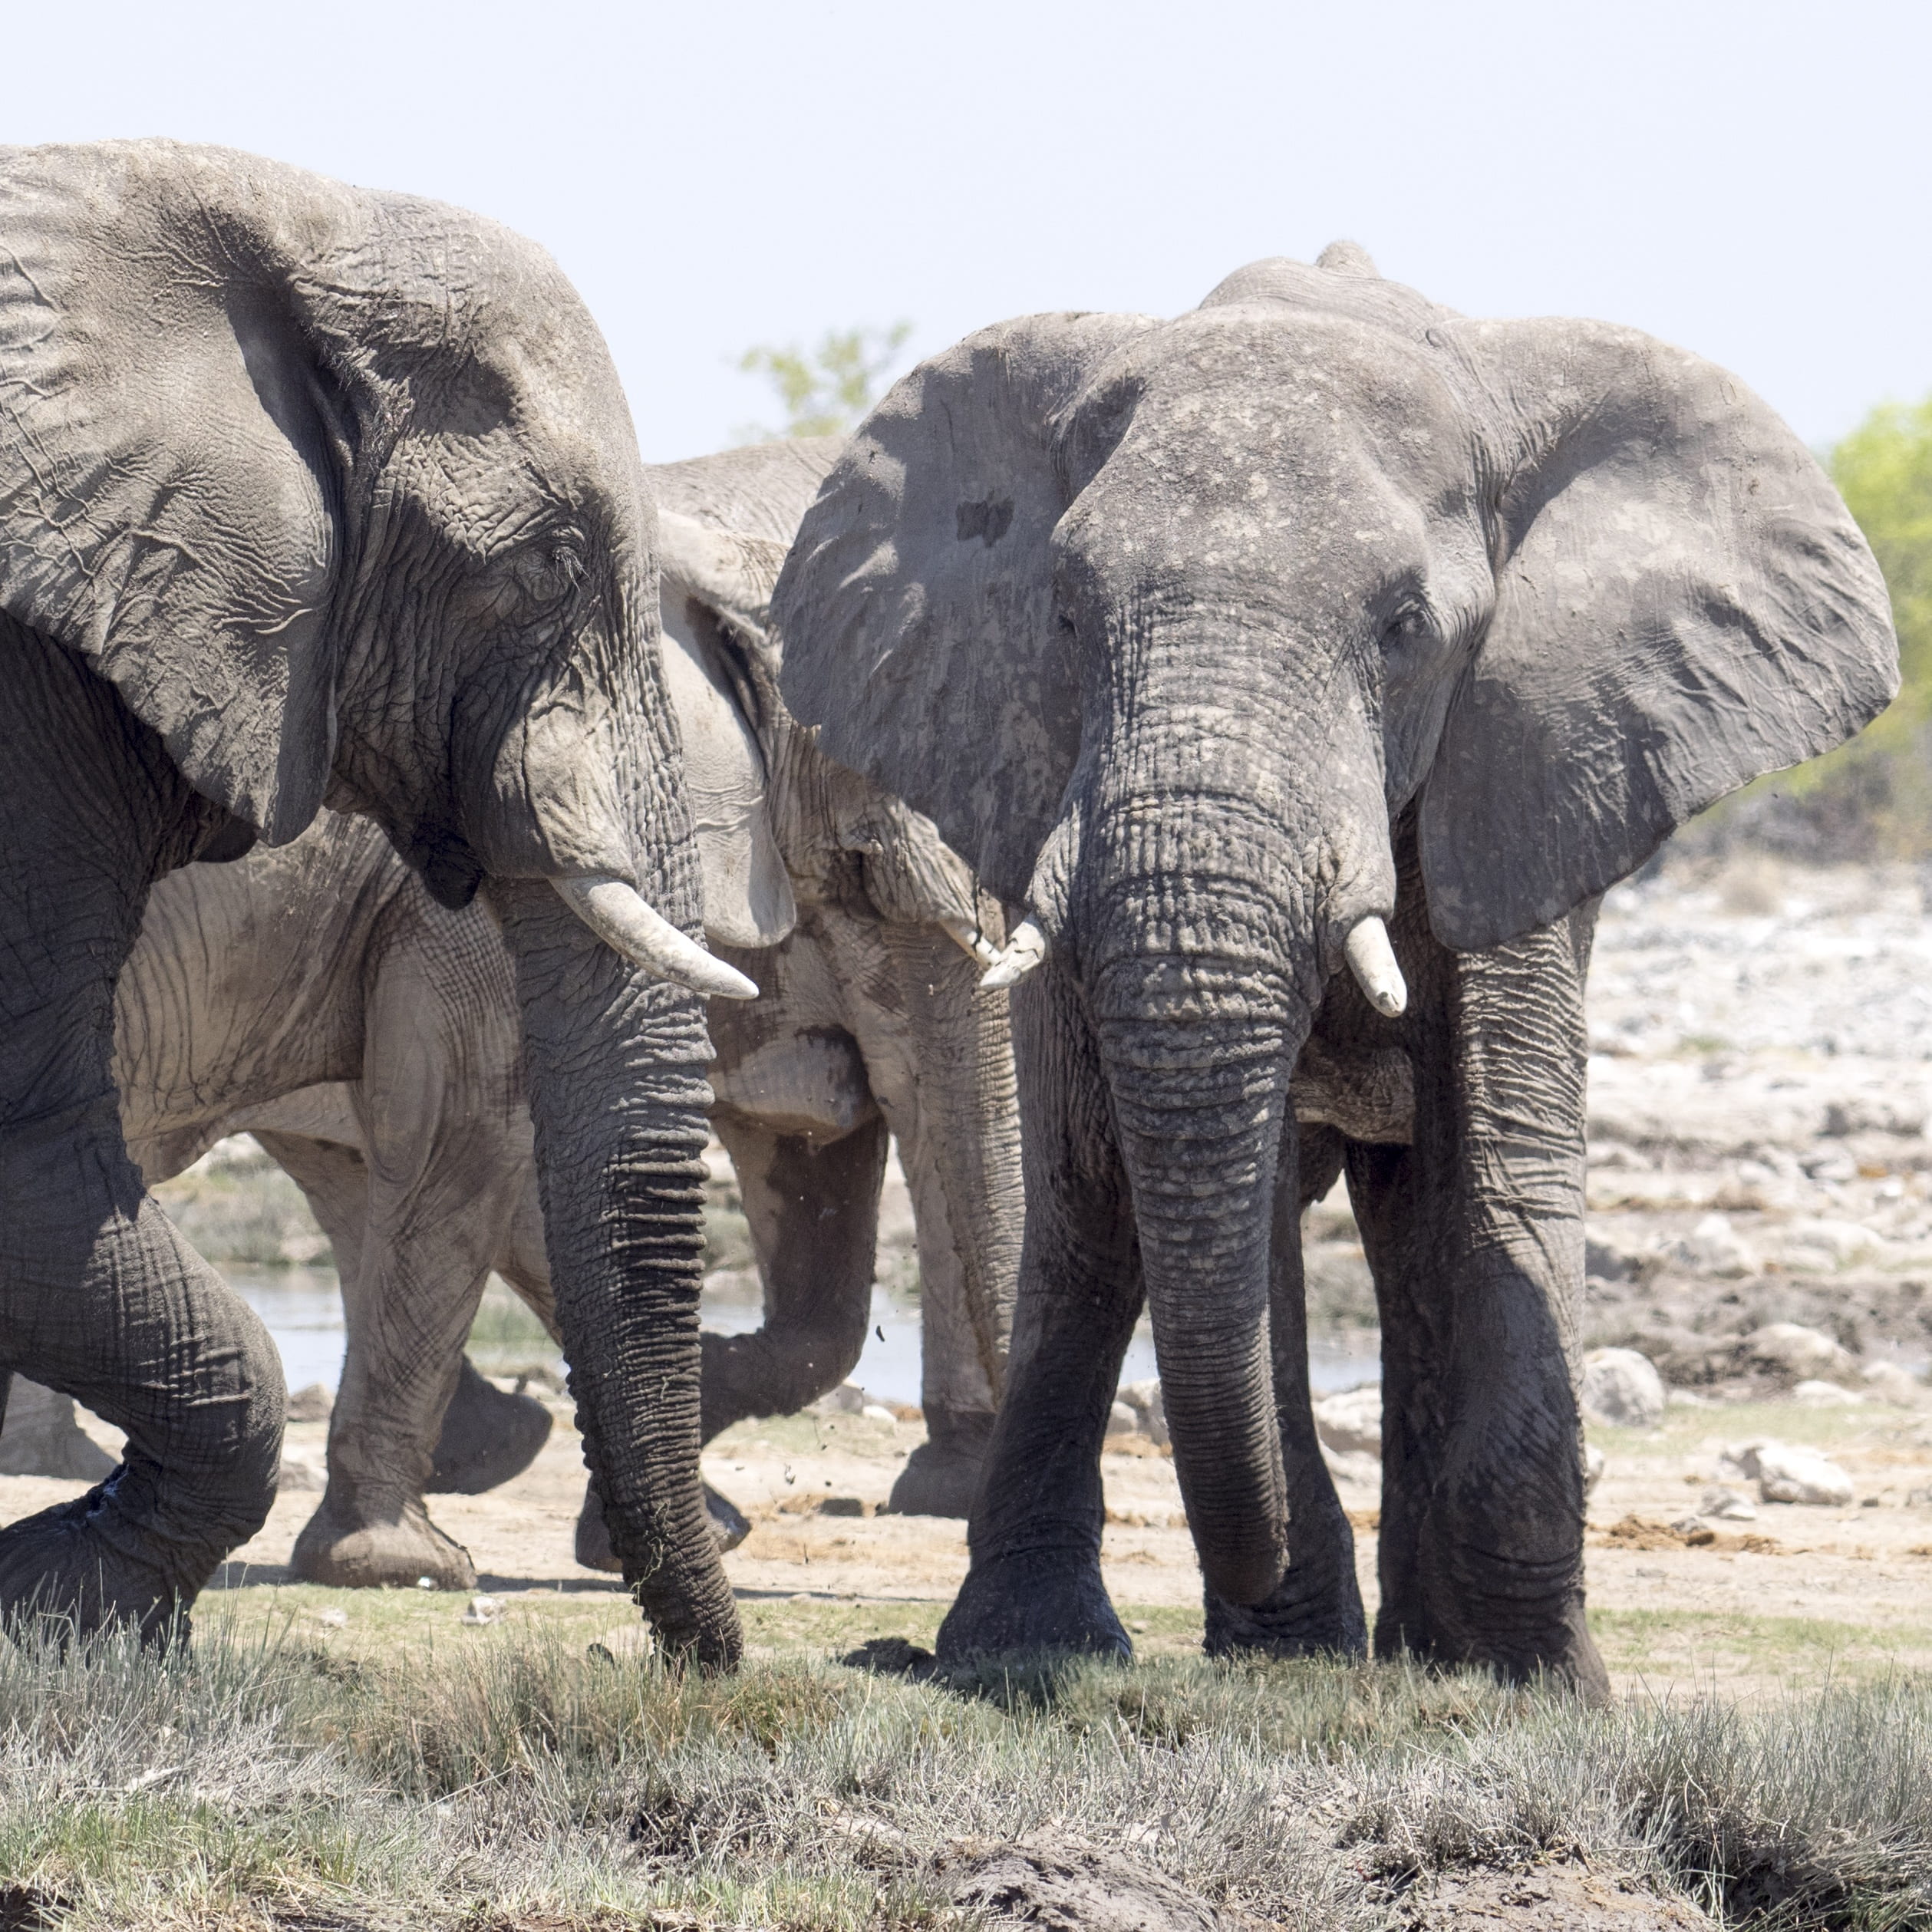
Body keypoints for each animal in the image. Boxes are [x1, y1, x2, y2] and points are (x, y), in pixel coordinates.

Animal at [771, 245, 1898, 1692]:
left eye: (1407, 624)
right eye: (1067, 614)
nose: (1257, 1590)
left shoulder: (1531, 752)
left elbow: (1496, 1159)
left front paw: (1534, 1682)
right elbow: (1227, 1202)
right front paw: (1296, 1657)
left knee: (1406, 1215)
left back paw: (1427, 1651)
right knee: (1088, 1211)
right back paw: (1039, 1651)